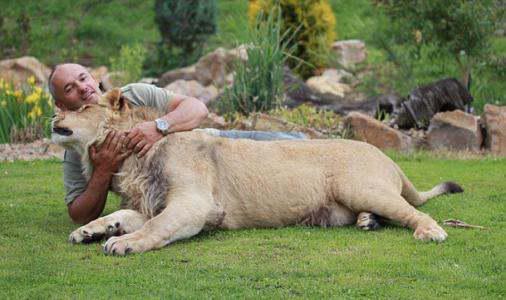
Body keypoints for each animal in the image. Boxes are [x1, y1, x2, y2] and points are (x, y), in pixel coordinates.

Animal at [51, 88, 462, 255]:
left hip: (362, 187)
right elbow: (119, 214)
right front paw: (89, 230)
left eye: (82, 107)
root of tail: (387, 156)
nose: (53, 116)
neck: (132, 158)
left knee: (414, 211)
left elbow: (156, 228)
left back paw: (430, 231)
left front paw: (123, 243)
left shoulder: (195, 204)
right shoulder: (152, 203)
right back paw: (367, 221)